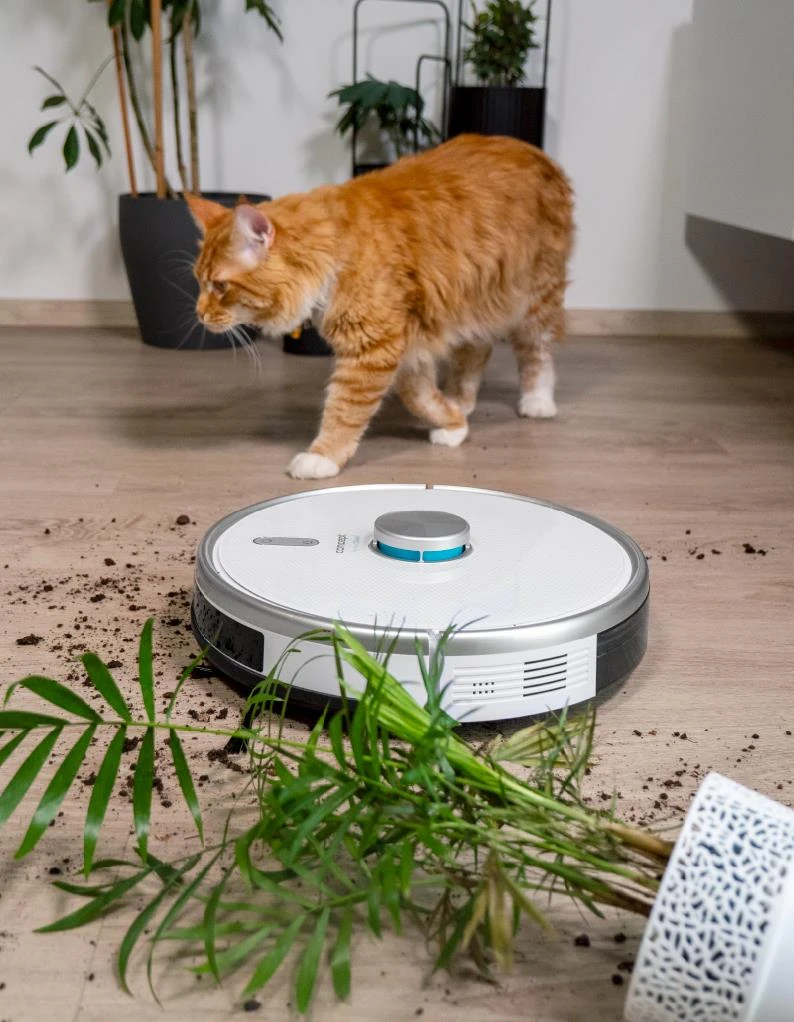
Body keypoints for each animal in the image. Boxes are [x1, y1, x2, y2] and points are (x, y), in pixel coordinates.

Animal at [186, 133, 574, 479]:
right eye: (199, 281)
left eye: (219, 286)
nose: (199, 314)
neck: (335, 252)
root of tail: (533, 150)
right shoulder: (405, 343)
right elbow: (419, 395)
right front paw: (453, 422)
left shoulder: (373, 346)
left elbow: (344, 409)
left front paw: (322, 456)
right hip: (472, 304)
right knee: (476, 351)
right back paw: (460, 400)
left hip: (536, 295)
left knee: (537, 350)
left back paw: (538, 400)